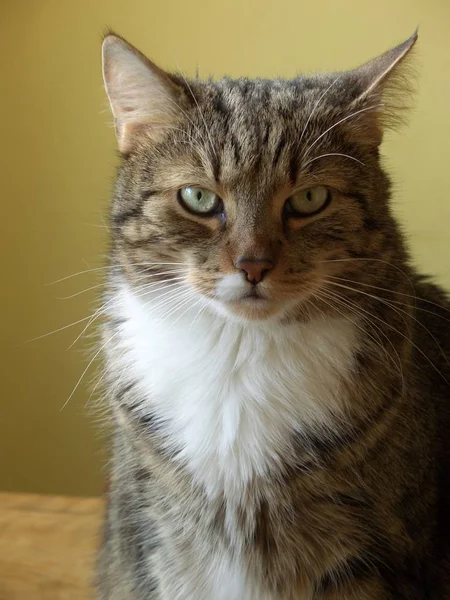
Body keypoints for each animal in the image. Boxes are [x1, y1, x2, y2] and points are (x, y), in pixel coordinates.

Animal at [96, 30, 448, 596]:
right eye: (198, 197)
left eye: (310, 198)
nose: (253, 265)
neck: (239, 356)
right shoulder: (167, 545)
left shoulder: (370, 554)